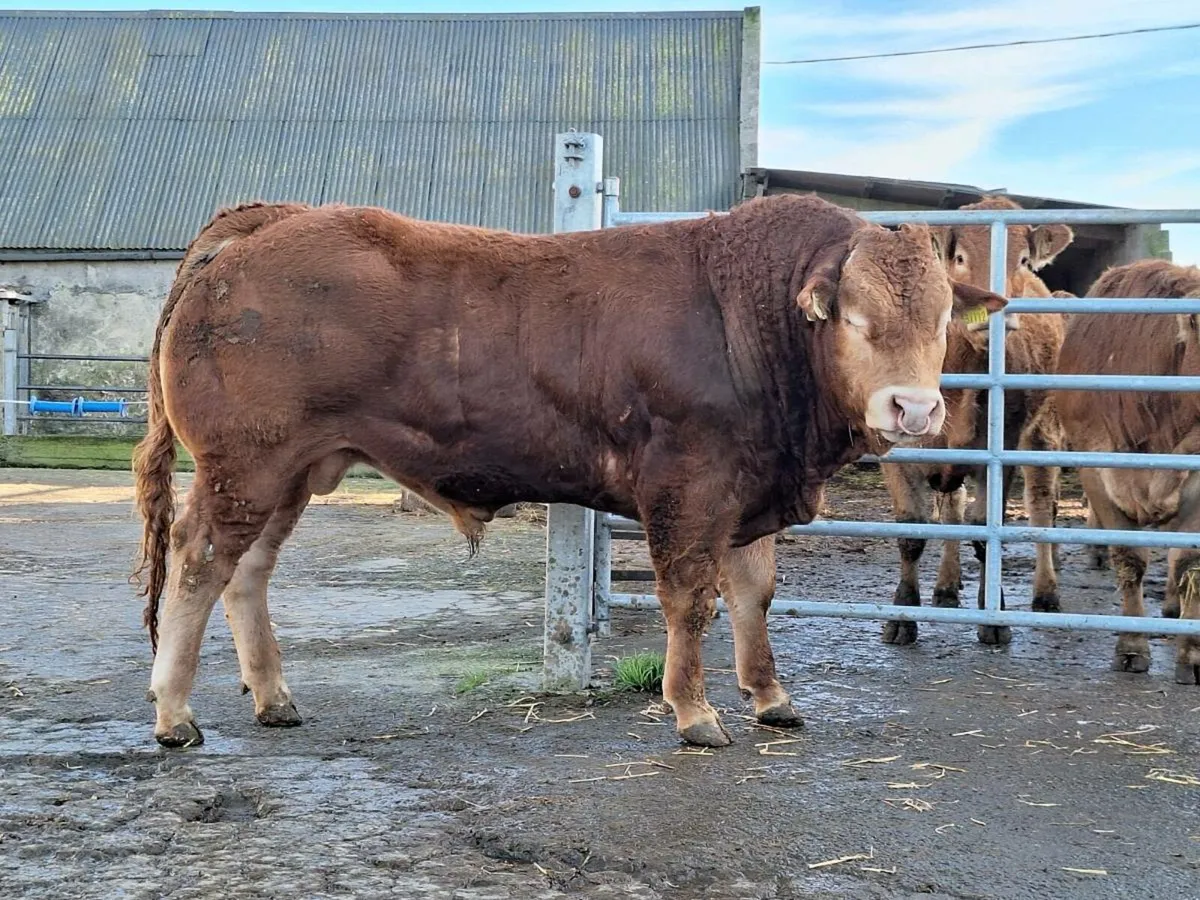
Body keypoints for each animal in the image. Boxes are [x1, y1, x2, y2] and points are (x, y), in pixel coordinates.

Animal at [131, 195, 1006, 749]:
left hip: (290, 469)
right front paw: (694, 712)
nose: (913, 409)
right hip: (245, 463)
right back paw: (173, 712)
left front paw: (771, 696)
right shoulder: (688, 487)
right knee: (199, 561)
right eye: (854, 318)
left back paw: (274, 697)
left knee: (247, 572)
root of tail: (268, 221)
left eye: (939, 322)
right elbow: (690, 601)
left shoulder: (750, 488)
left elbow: (753, 594)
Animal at [877, 197, 1073, 646]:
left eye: (1023, 260)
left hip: (1044, 434)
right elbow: (912, 532)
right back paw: (946, 587)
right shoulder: (898, 455)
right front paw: (902, 613)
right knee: (951, 510)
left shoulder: (1002, 452)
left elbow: (986, 530)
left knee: (1042, 506)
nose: (992, 315)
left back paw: (1046, 593)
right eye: (960, 258)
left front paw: (994, 614)